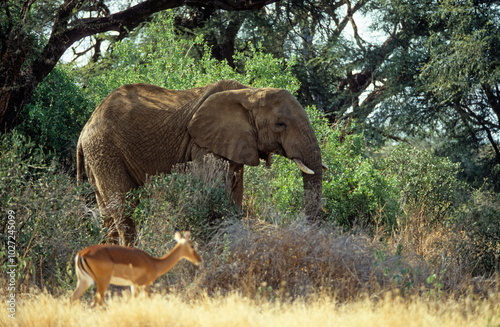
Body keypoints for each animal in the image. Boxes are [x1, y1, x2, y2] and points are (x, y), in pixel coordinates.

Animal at [76, 79, 322, 245]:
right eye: (280, 125)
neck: (249, 92)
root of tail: (85, 128)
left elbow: (236, 195)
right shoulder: (202, 143)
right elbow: (213, 188)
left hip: (98, 156)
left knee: (108, 212)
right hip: (106, 151)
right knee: (124, 207)